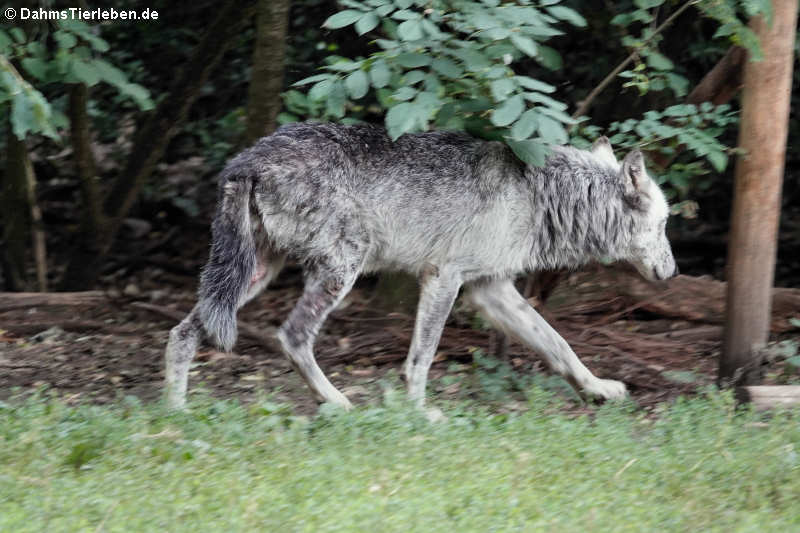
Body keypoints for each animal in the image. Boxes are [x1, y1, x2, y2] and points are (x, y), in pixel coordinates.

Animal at [166, 122, 680, 410]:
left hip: (250, 279)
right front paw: (418, 415)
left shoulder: (492, 290)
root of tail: (249, 158)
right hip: (339, 273)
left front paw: (598, 389)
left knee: (181, 332)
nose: (673, 273)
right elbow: (422, 358)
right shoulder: (444, 278)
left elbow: (559, 345)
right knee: (292, 337)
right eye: (664, 225)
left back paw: (176, 416)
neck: (541, 196)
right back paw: (337, 403)